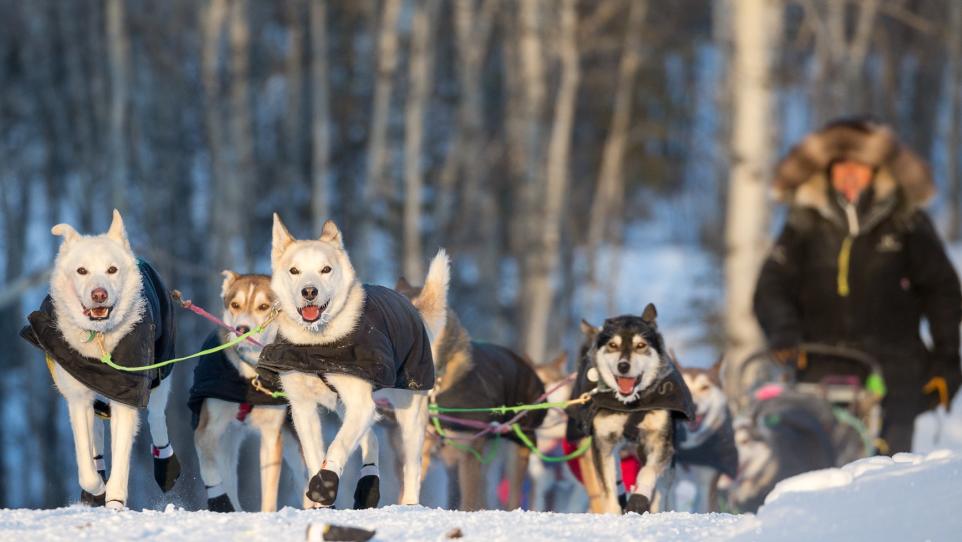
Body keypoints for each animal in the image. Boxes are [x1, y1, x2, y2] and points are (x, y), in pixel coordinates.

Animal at [20, 211, 182, 510]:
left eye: (112, 270)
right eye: (82, 271)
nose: (99, 294)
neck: (100, 340)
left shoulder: (127, 394)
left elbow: (122, 450)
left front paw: (115, 501)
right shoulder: (78, 397)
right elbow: (85, 463)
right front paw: (96, 487)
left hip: (160, 372)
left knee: (156, 415)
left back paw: (166, 465)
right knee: (96, 433)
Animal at [256, 216, 434, 510]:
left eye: (326, 269)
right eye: (294, 270)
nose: (309, 291)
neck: (316, 346)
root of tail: (409, 304)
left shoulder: (360, 402)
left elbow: (337, 445)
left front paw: (326, 483)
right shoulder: (303, 407)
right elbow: (314, 454)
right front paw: (321, 500)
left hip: (410, 410)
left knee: (412, 463)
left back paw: (409, 502)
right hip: (343, 406)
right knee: (371, 438)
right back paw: (368, 484)